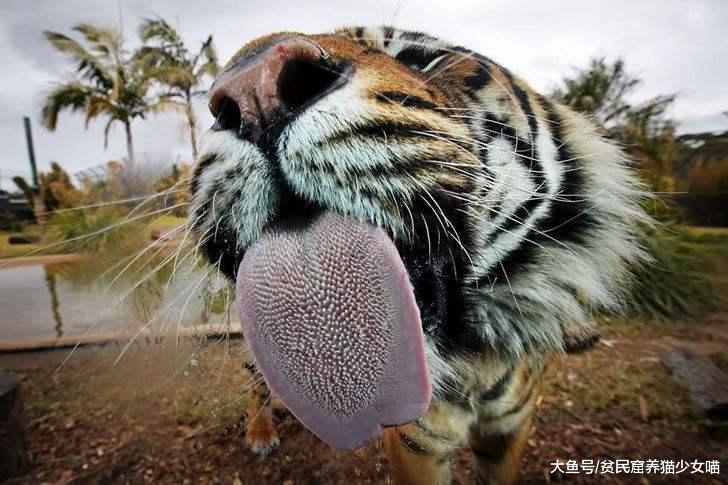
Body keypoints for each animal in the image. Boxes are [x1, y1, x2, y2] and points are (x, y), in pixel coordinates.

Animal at [189, 26, 648, 484]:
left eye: (417, 59)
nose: (252, 88)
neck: (475, 365)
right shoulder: (416, 445)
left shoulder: (510, 428)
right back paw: (261, 433)